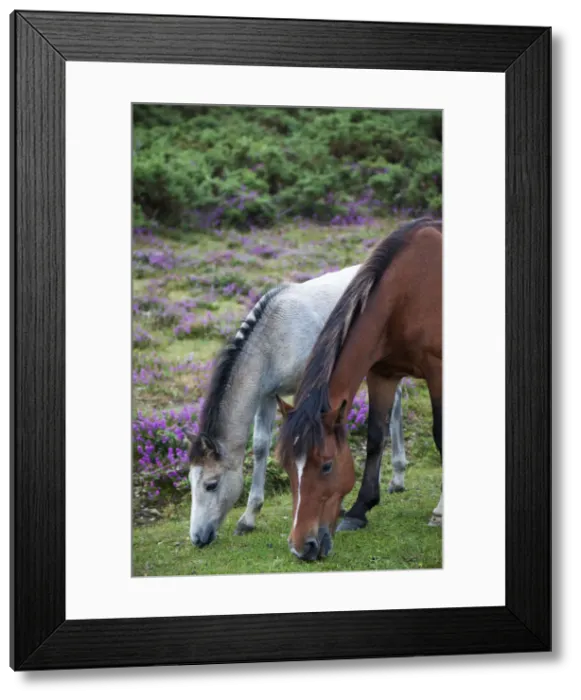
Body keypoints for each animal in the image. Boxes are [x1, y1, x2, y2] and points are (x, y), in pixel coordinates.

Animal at [185, 263, 410, 548]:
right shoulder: (267, 396)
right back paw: (397, 478)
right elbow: (260, 446)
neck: (273, 338)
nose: (197, 538)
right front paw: (248, 518)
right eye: (190, 481)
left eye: (211, 484)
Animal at [276, 217, 442, 562]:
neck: (408, 291)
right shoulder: (382, 373)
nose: (301, 547)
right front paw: (359, 510)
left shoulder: (437, 369)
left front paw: (440, 512)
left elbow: (440, 435)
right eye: (286, 467)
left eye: (326, 465)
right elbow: (376, 437)